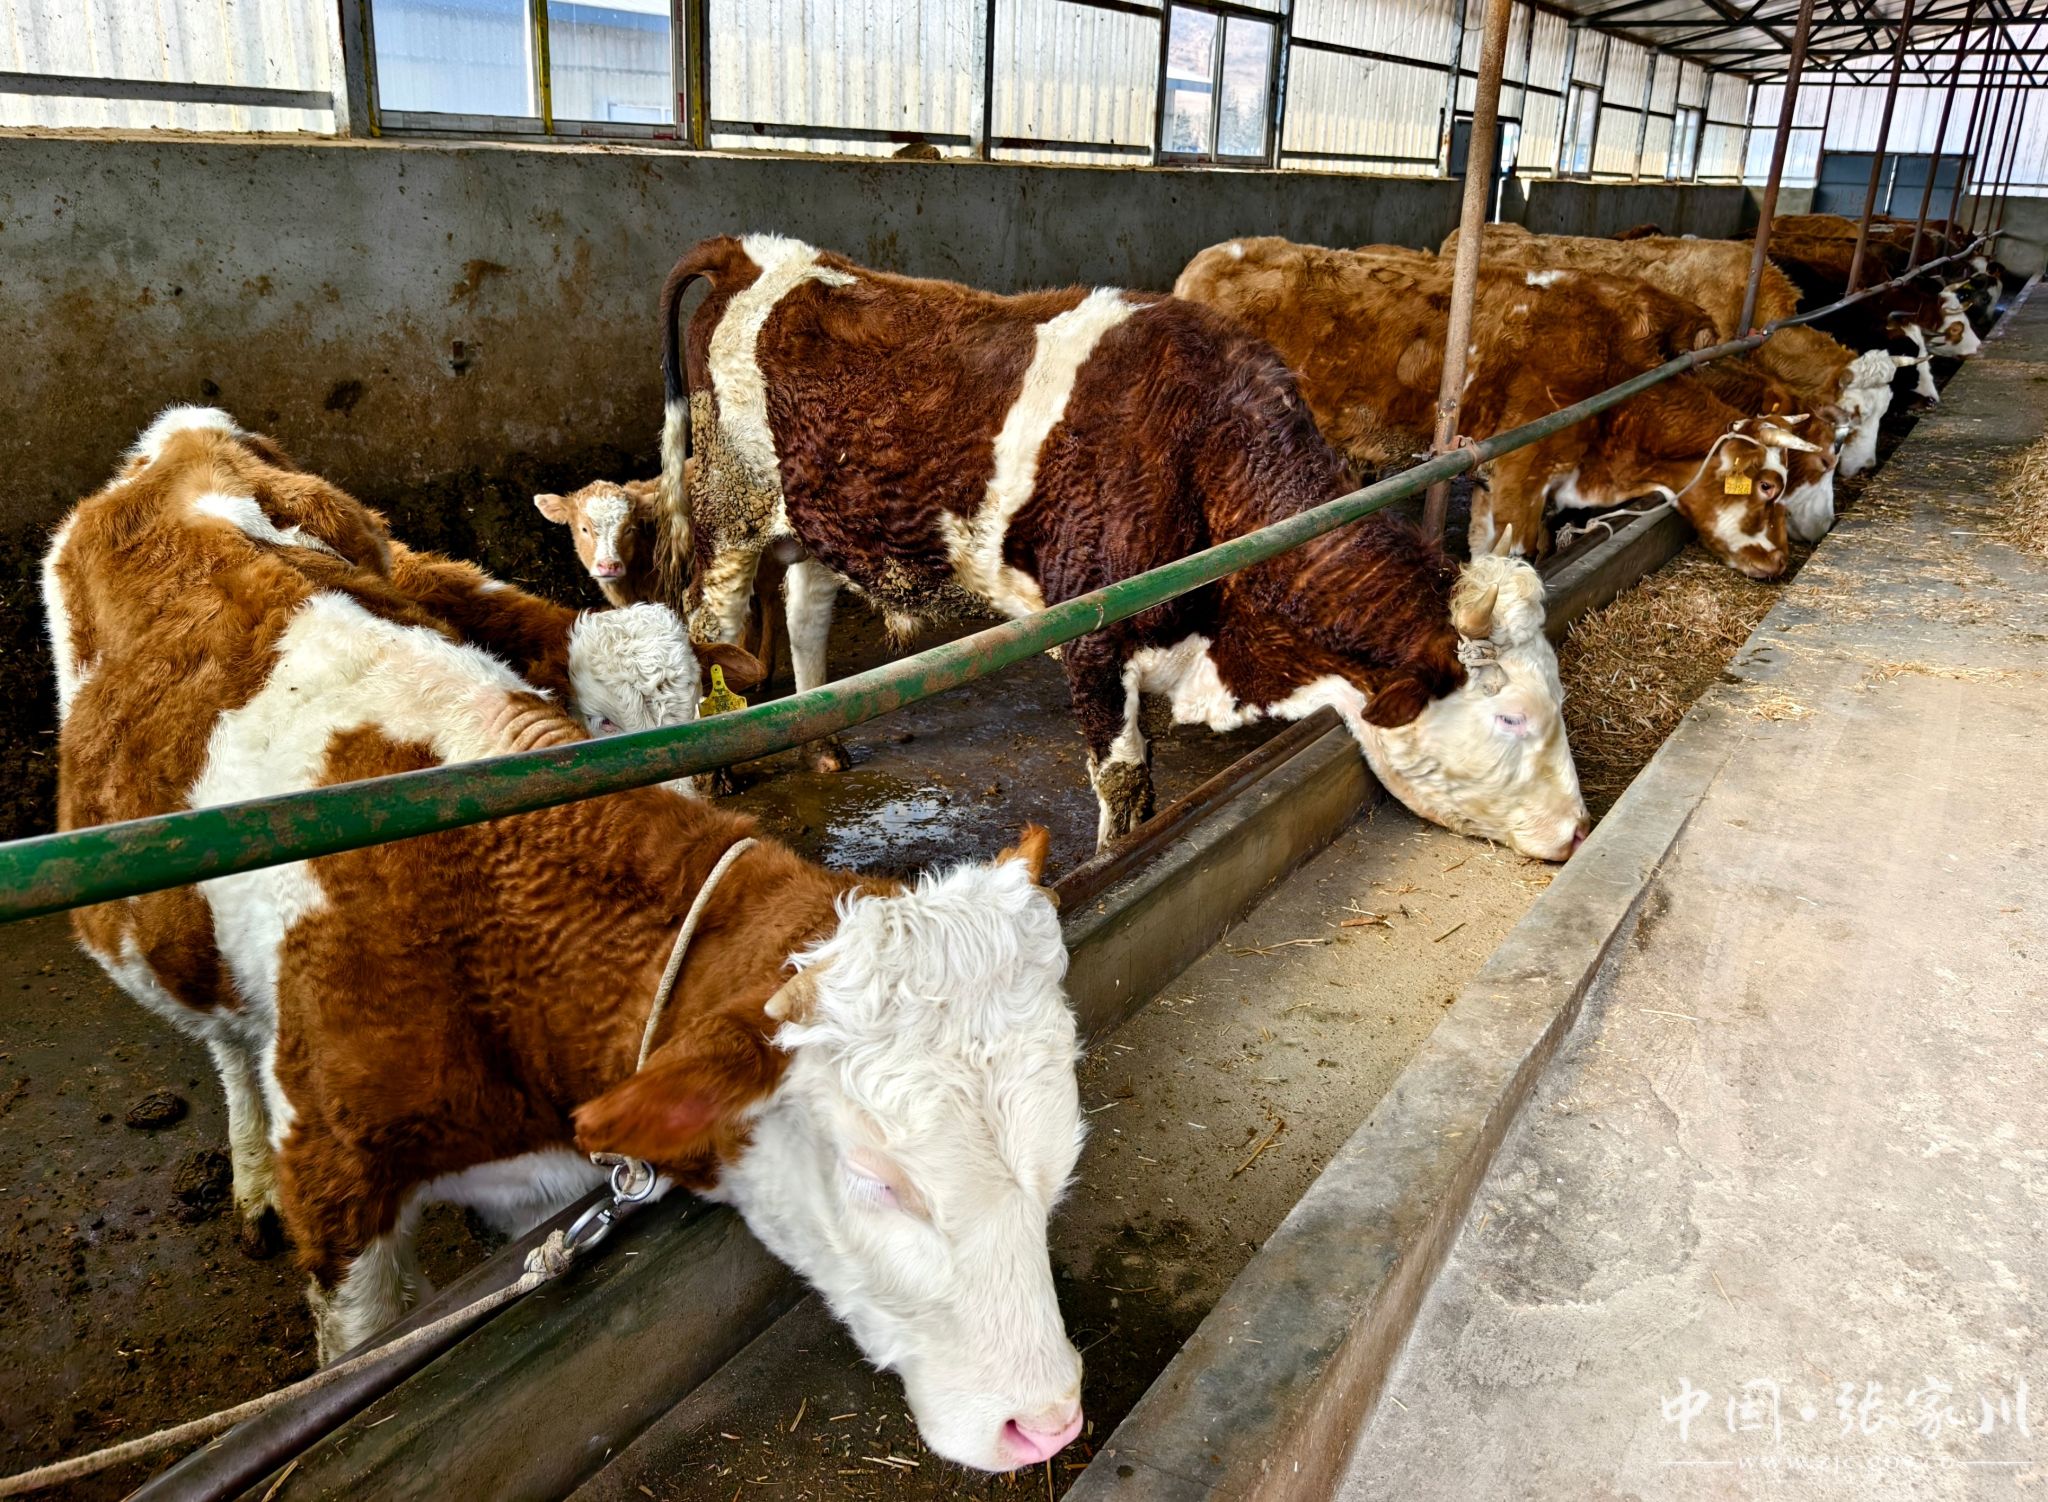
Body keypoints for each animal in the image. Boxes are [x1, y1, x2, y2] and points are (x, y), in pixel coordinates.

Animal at [45, 407, 1091, 1474]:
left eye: (1061, 1150)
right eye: (879, 1180)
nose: (1049, 1419)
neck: (479, 920)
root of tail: (183, 436)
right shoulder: (337, 1181)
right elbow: (359, 1340)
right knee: (224, 1041)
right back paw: (248, 1173)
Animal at [654, 234, 1588, 860]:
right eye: (1511, 716)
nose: (1580, 827)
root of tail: (754, 254)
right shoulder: (1094, 638)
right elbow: (1125, 779)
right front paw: (1110, 862)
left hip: (812, 513)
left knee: (805, 612)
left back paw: (820, 740)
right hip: (730, 507)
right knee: (712, 620)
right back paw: (718, 768)